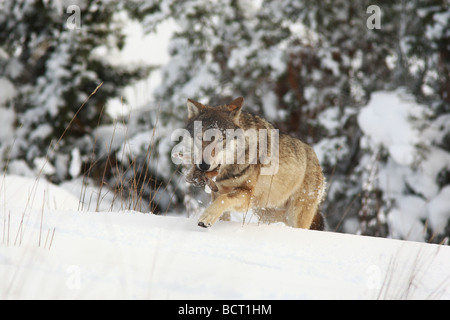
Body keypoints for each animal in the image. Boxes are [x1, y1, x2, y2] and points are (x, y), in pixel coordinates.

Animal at [184, 96, 326, 229]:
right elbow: (221, 207)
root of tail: (317, 161)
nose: (203, 165)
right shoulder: (218, 192)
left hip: (294, 215)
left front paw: (206, 217)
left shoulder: (246, 195)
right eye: (200, 137)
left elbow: (224, 200)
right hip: (267, 212)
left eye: (221, 139)